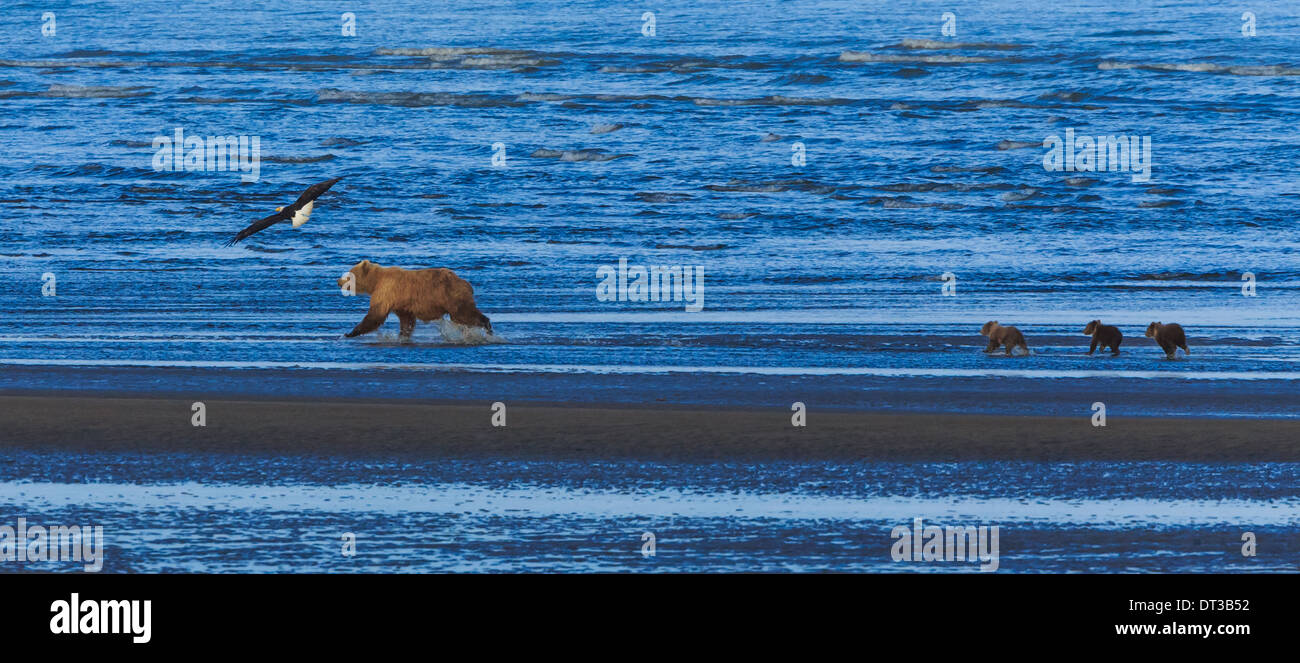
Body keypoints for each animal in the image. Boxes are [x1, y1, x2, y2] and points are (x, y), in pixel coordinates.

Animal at [335, 258, 491, 338]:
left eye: (348, 275)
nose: (338, 281)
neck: (375, 282)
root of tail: (466, 283)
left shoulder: (386, 292)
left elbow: (375, 315)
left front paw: (350, 333)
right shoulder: (401, 302)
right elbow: (406, 319)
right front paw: (404, 333)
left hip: (452, 297)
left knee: (464, 314)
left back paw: (487, 326)